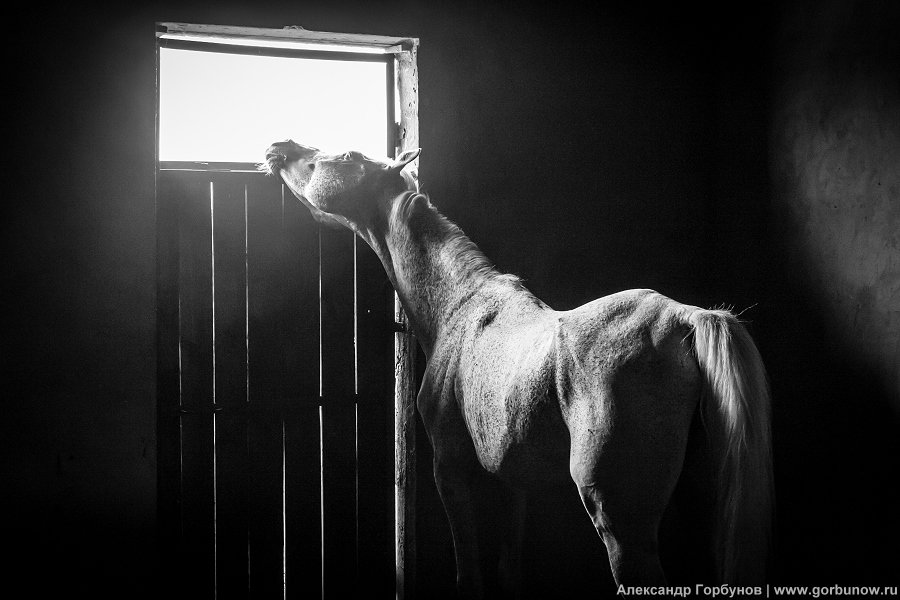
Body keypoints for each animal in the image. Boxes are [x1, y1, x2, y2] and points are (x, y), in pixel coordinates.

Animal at [260, 141, 772, 596]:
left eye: (347, 156)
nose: (279, 147)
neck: (459, 307)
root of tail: (680, 317)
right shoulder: (514, 480)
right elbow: (509, 569)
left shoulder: (450, 470)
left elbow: (470, 572)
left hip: (618, 518)